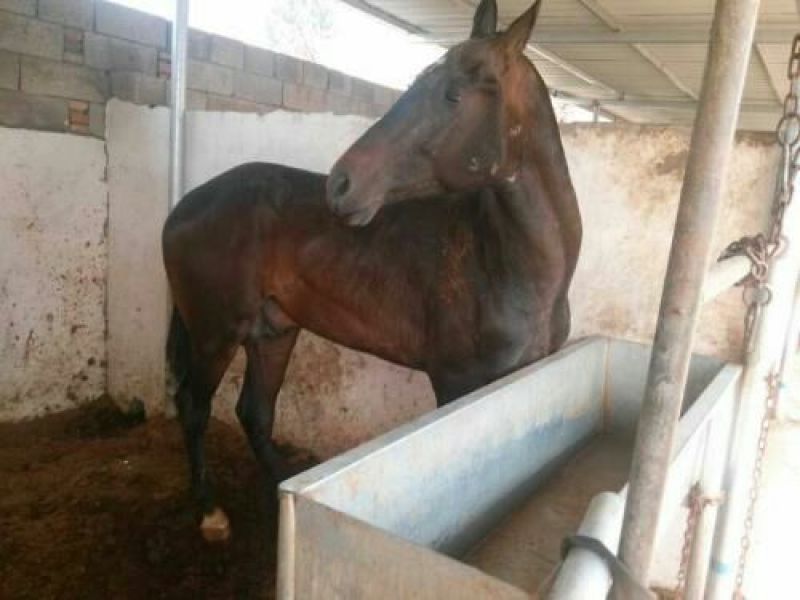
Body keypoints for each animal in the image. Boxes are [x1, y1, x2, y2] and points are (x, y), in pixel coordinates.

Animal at [162, 0, 581, 542]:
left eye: (453, 94)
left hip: (273, 332)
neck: (506, 260)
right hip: (215, 334)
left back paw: (283, 491)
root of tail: (183, 207)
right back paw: (210, 512)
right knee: (194, 407)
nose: (341, 183)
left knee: (254, 413)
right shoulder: (456, 384)